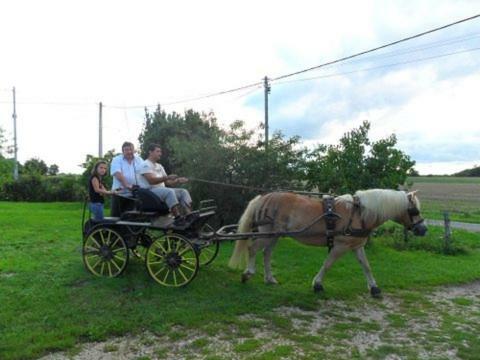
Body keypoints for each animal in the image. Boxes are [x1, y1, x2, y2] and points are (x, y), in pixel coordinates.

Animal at [229, 188, 428, 298]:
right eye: (414, 210)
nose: (423, 229)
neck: (359, 213)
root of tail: (263, 197)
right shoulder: (341, 246)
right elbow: (328, 263)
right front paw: (317, 284)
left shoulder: (357, 246)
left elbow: (366, 266)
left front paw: (374, 288)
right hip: (267, 233)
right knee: (252, 248)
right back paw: (248, 273)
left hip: (275, 235)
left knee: (267, 253)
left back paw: (269, 278)